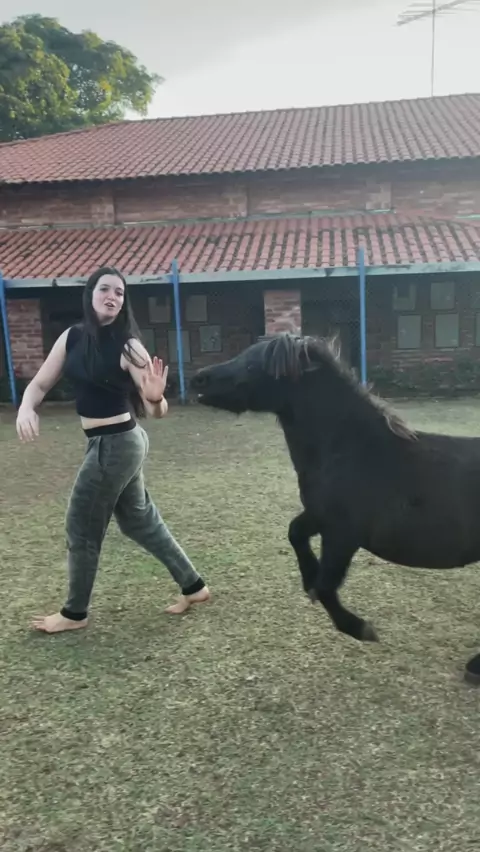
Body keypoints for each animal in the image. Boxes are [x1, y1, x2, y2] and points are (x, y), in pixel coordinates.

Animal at [190, 333, 480, 678]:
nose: (198, 379)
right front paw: (308, 580)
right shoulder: (320, 518)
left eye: (252, 363)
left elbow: (327, 587)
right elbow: (295, 533)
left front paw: (360, 628)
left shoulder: (343, 536)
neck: (351, 451)